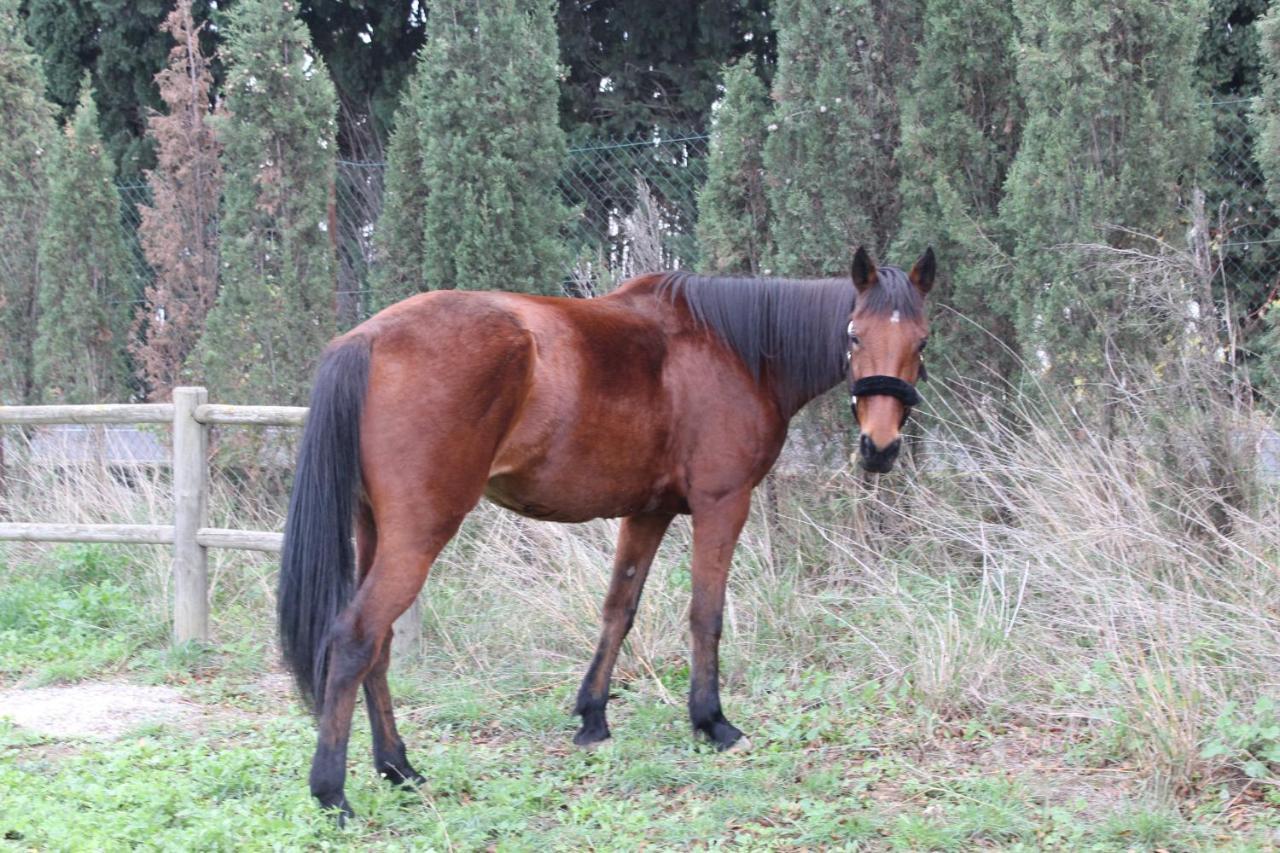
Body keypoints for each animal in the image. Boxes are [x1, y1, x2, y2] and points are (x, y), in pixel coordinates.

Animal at [280, 244, 936, 809]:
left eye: (921, 342)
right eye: (854, 335)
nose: (880, 449)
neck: (732, 347)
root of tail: (367, 337)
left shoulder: (648, 512)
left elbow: (619, 608)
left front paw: (592, 717)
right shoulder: (723, 503)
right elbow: (706, 614)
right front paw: (711, 721)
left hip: (375, 531)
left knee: (381, 644)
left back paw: (397, 766)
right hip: (419, 534)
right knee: (355, 637)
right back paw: (332, 792)